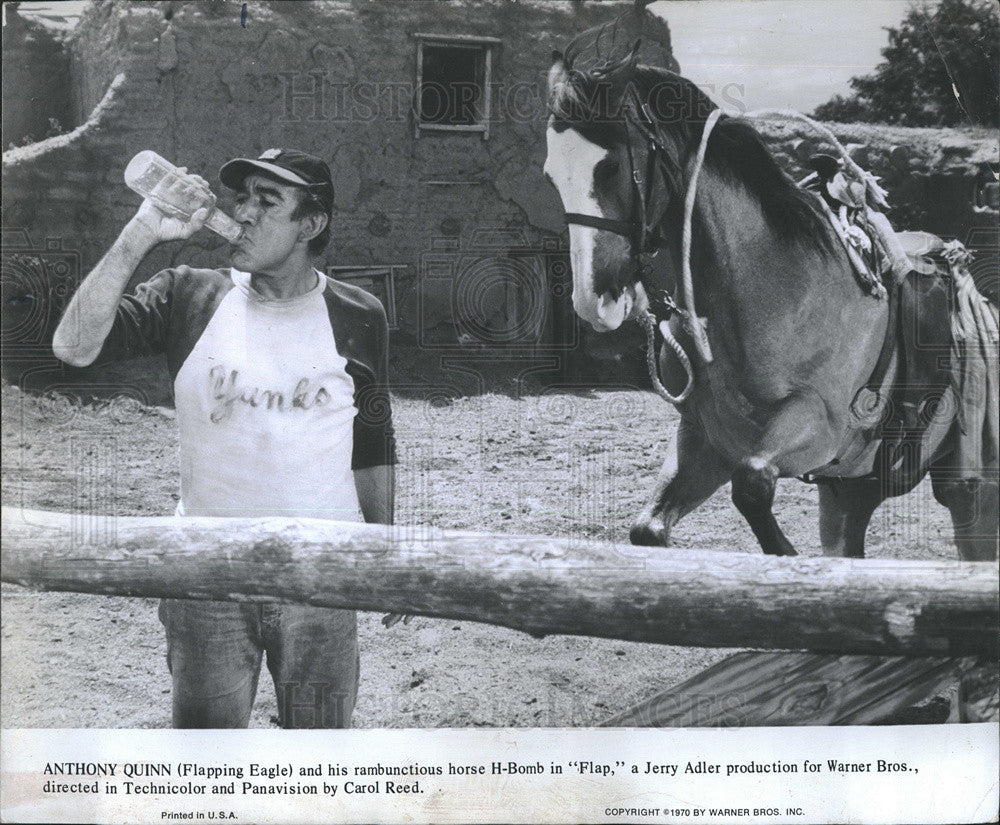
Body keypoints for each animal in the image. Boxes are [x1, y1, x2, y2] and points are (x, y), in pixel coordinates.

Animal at [548, 46, 1000, 560]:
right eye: (551, 176)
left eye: (611, 167)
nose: (592, 300)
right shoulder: (706, 439)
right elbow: (650, 527)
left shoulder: (820, 427)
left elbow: (752, 483)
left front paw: (785, 553)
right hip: (851, 491)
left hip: (972, 492)